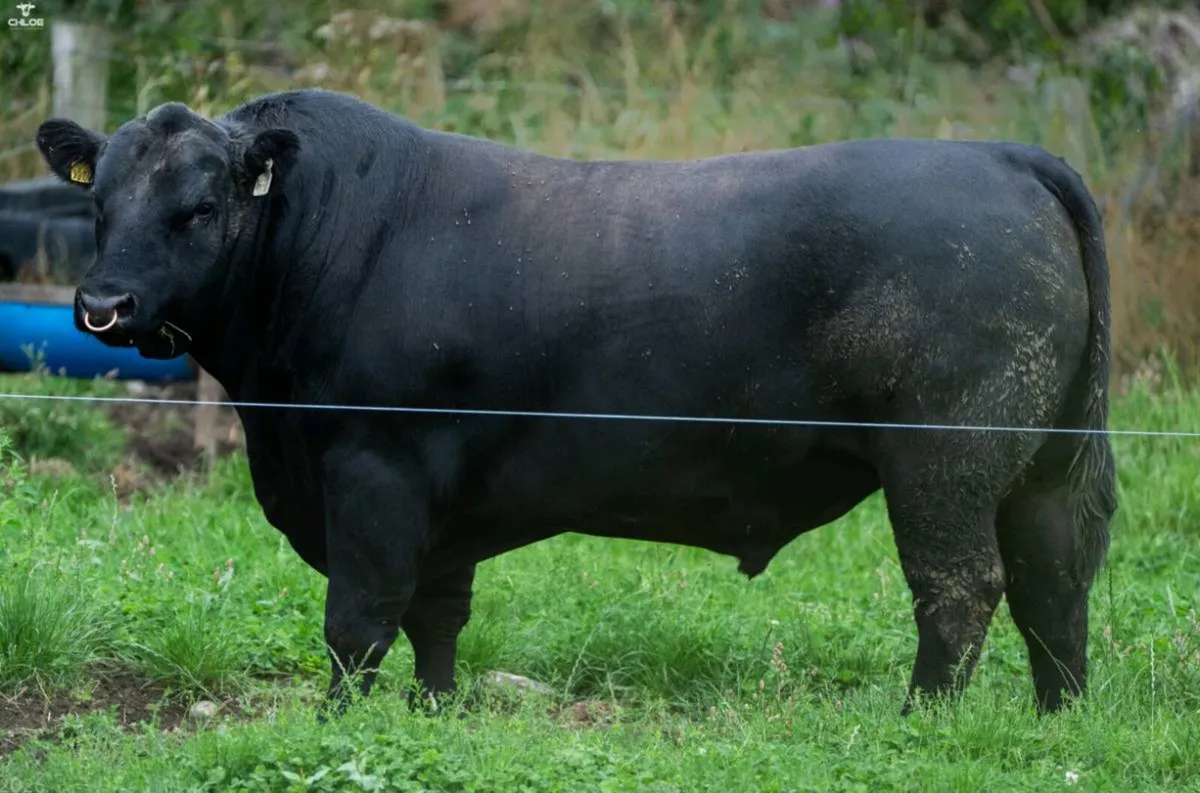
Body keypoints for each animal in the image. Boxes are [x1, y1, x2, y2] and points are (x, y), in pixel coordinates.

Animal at [34, 88, 1117, 718]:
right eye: (99, 203)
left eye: (199, 207)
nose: (102, 304)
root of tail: (1002, 155)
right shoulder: (443, 492)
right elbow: (437, 616)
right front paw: (436, 717)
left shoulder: (374, 469)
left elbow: (358, 621)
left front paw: (339, 728)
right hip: (1046, 460)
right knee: (1054, 581)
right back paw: (1054, 719)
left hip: (943, 457)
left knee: (961, 587)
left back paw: (921, 722)